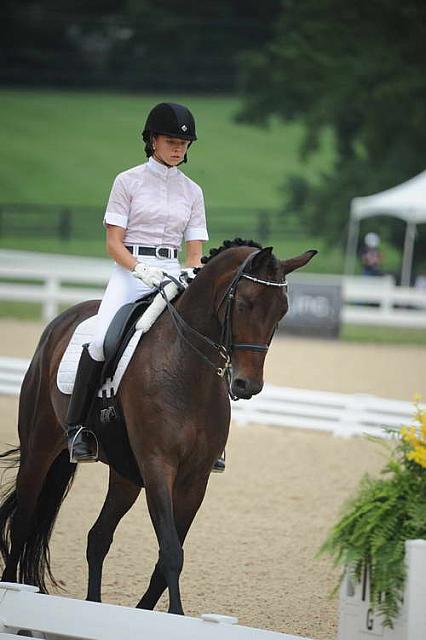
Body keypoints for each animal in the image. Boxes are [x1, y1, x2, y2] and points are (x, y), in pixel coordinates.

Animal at [0, 240, 316, 616]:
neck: (187, 369)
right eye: (243, 303)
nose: (246, 385)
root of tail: (60, 322)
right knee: (22, 523)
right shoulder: (157, 465)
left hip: (125, 474)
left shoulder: (195, 478)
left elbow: (167, 558)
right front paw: (176, 616)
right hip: (40, 446)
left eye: (281, 311)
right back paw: (12, 587)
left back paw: (94, 604)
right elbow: (171, 552)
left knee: (98, 537)